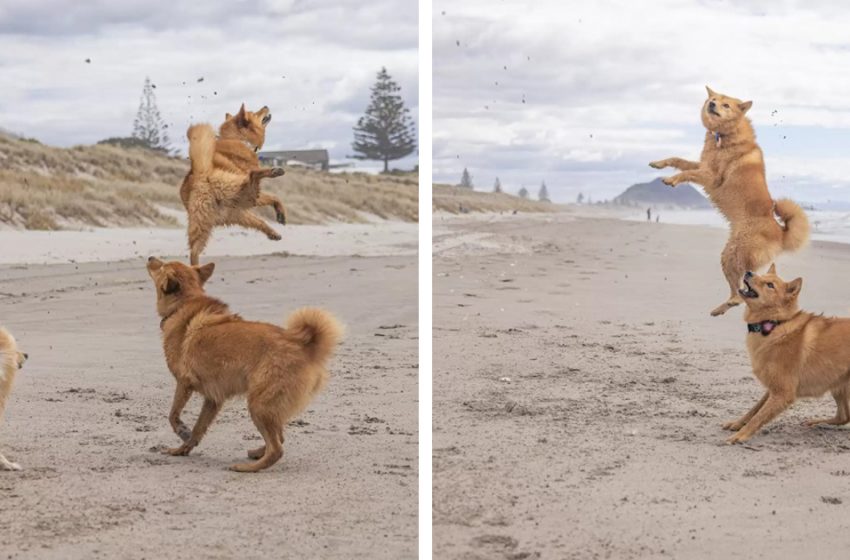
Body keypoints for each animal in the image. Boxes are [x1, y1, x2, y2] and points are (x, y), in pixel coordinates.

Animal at [146, 258, 342, 472]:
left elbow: (173, 414)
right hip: (268, 406)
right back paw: (257, 453)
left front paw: (182, 431)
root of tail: (303, 345)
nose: (150, 257)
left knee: (277, 449)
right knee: (279, 437)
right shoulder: (213, 399)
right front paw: (183, 448)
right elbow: (199, 428)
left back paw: (247, 467)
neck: (184, 303)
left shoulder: (184, 383)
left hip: (258, 405)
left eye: (162, 266)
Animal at [181, 104, 288, 266]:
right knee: (253, 176)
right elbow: (273, 196)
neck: (238, 139)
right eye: (254, 113)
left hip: (222, 217)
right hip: (242, 194)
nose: (266, 106)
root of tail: (201, 173)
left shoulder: (246, 205)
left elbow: (272, 202)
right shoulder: (253, 198)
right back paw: (273, 171)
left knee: (194, 251)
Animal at [648, 86, 808, 316]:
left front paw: (672, 179)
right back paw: (719, 309)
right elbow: (679, 160)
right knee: (739, 290)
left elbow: (686, 172)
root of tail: (781, 232)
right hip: (729, 256)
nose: (712, 104)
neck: (724, 135)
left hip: (733, 255)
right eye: (714, 99)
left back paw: (731, 302)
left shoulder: (711, 176)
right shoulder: (703, 165)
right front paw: (659, 163)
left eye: (725, 105)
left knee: (740, 292)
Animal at [724, 264, 850, 444]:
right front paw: (737, 423)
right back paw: (816, 422)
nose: (749, 272)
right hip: (838, 384)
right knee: (844, 416)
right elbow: (755, 409)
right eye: (763, 276)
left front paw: (740, 435)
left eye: (770, 285)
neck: (774, 324)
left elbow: (758, 417)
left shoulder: (783, 393)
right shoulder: (774, 388)